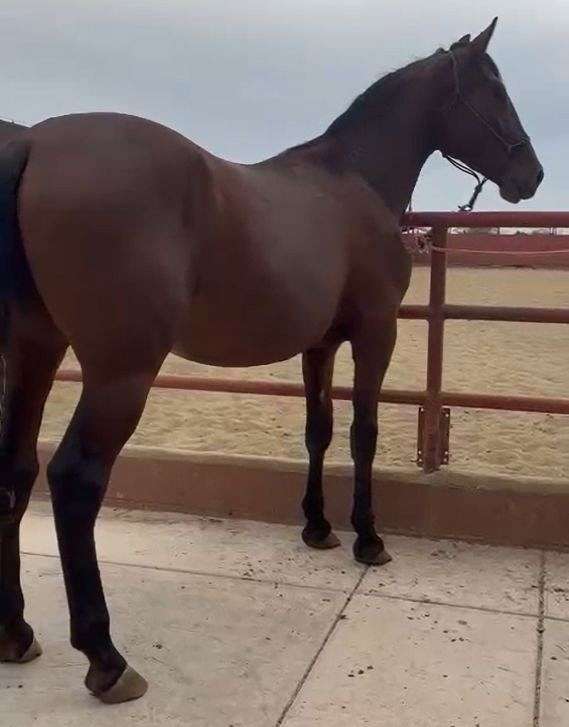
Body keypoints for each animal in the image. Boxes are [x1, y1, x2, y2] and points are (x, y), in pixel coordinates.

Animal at [0, 19, 540, 704]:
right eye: (494, 88)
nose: (533, 173)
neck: (352, 182)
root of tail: (34, 144)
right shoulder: (377, 334)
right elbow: (363, 433)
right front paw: (368, 538)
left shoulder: (320, 344)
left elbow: (318, 432)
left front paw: (317, 526)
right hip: (120, 372)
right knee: (75, 479)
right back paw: (106, 658)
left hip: (34, 351)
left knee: (16, 470)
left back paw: (16, 632)